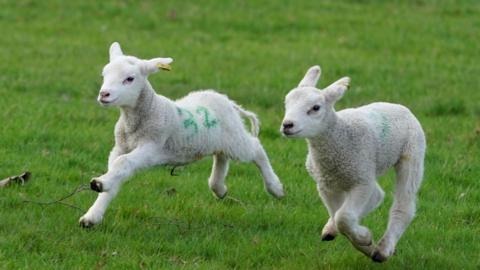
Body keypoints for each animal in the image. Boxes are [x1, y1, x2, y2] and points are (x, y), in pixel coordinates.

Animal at [77, 42, 284, 228]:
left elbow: (123, 163)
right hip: (219, 140)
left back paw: (275, 187)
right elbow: (116, 172)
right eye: (104, 75)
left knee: (256, 149)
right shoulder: (120, 147)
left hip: (235, 139)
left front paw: (99, 183)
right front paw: (93, 214)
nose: (104, 94)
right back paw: (219, 188)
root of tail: (228, 101)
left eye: (129, 79)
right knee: (222, 157)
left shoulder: (152, 146)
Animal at [280, 65, 426, 262]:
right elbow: (338, 215)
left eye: (315, 108)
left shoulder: (361, 181)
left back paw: (383, 250)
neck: (339, 136)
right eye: (286, 104)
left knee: (402, 204)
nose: (287, 125)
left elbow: (343, 217)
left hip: (411, 152)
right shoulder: (325, 184)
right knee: (376, 196)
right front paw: (356, 239)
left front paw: (364, 238)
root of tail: (398, 106)